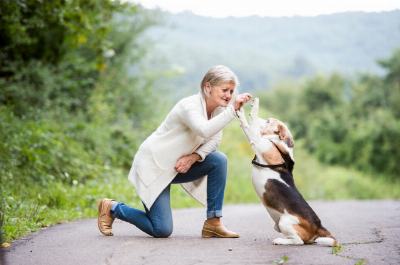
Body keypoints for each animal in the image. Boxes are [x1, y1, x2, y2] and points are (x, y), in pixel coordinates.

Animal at [236, 97, 336, 245]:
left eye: (268, 121)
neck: (277, 143)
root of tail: (318, 226)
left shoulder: (258, 141)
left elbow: (250, 126)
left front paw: (249, 109)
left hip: (285, 222)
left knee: (299, 241)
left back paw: (280, 241)